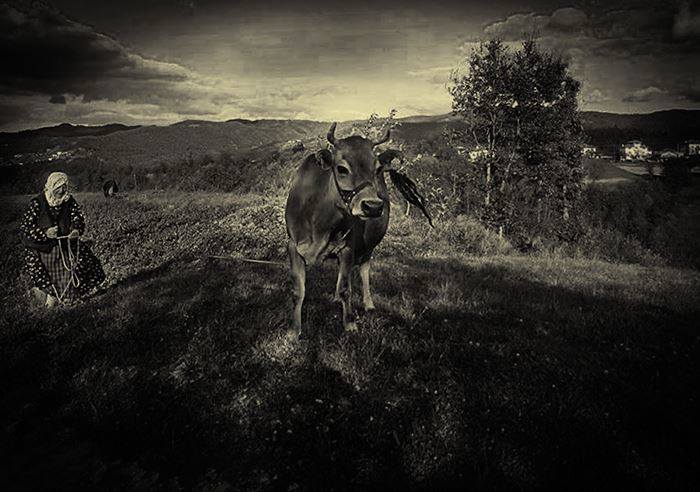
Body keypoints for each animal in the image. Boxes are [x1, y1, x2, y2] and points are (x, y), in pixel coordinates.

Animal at [285, 123, 431, 336]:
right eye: (341, 168)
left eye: (377, 168)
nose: (373, 206)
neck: (319, 226)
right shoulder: (293, 246)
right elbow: (298, 291)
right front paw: (294, 330)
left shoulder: (348, 247)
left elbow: (347, 288)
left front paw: (350, 323)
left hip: (369, 246)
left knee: (363, 269)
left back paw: (367, 303)